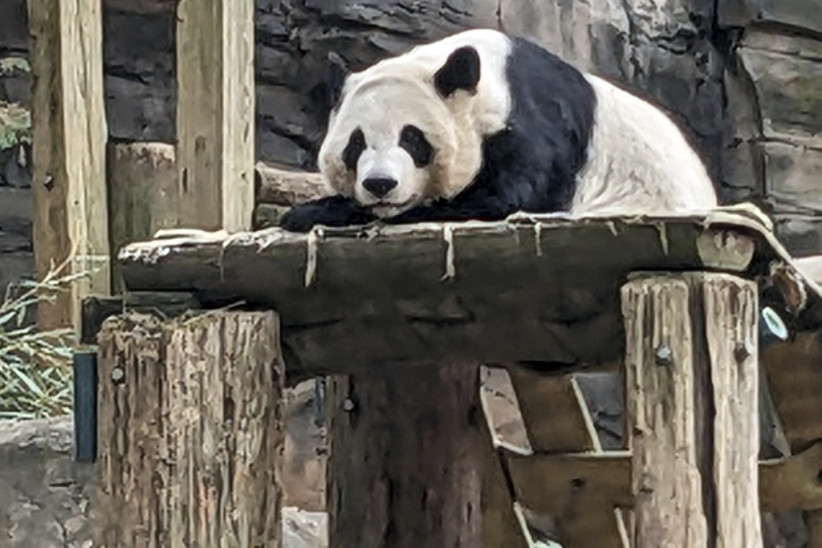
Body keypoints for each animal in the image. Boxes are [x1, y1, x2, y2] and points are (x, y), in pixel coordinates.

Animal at [280, 29, 718, 233]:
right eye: (355, 144)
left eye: (412, 139)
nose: (380, 184)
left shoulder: (535, 127)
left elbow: (500, 200)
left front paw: (313, 211)